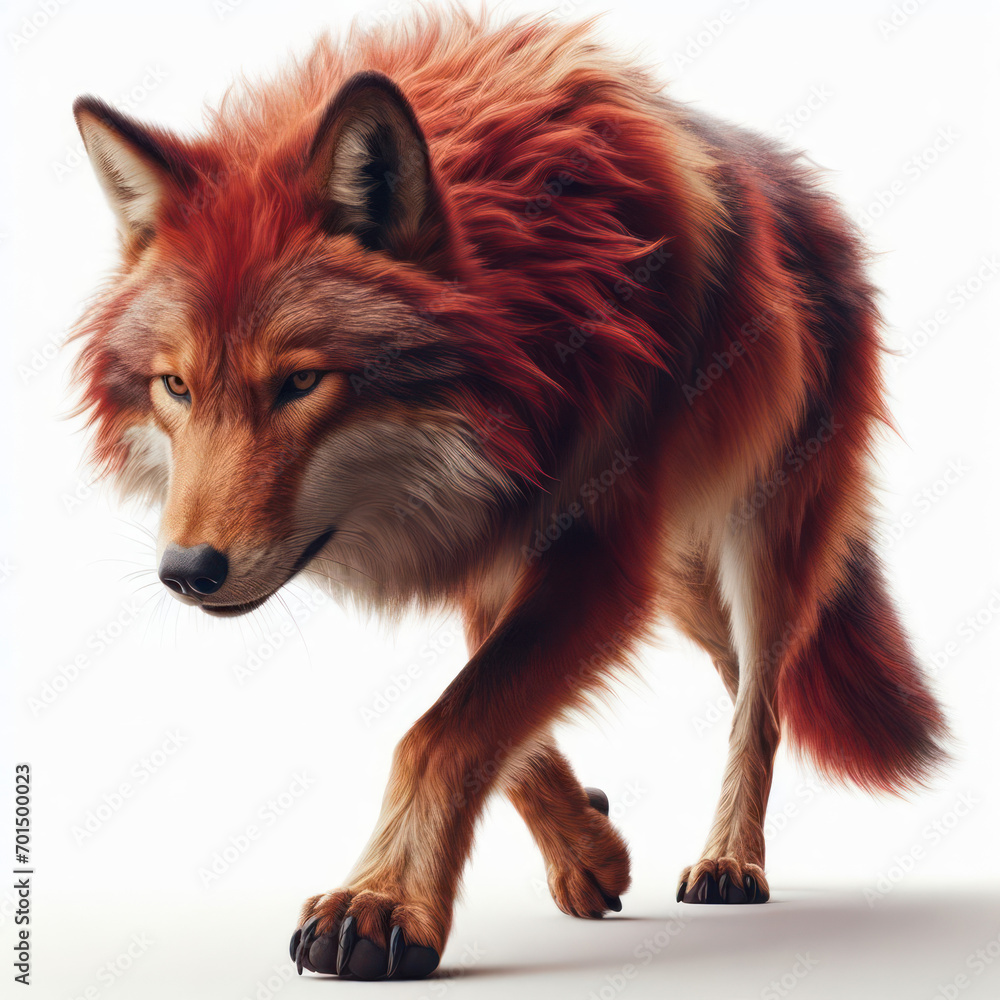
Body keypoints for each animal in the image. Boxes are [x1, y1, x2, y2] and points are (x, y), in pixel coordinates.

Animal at [70, 9, 948, 981]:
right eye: (176, 387)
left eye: (300, 383)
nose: (186, 570)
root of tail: (814, 198)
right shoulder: (496, 546)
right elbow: (491, 718)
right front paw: (589, 849)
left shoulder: (595, 556)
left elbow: (440, 730)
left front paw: (380, 904)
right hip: (682, 580)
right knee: (762, 681)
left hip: (763, 540)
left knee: (760, 696)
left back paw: (729, 862)